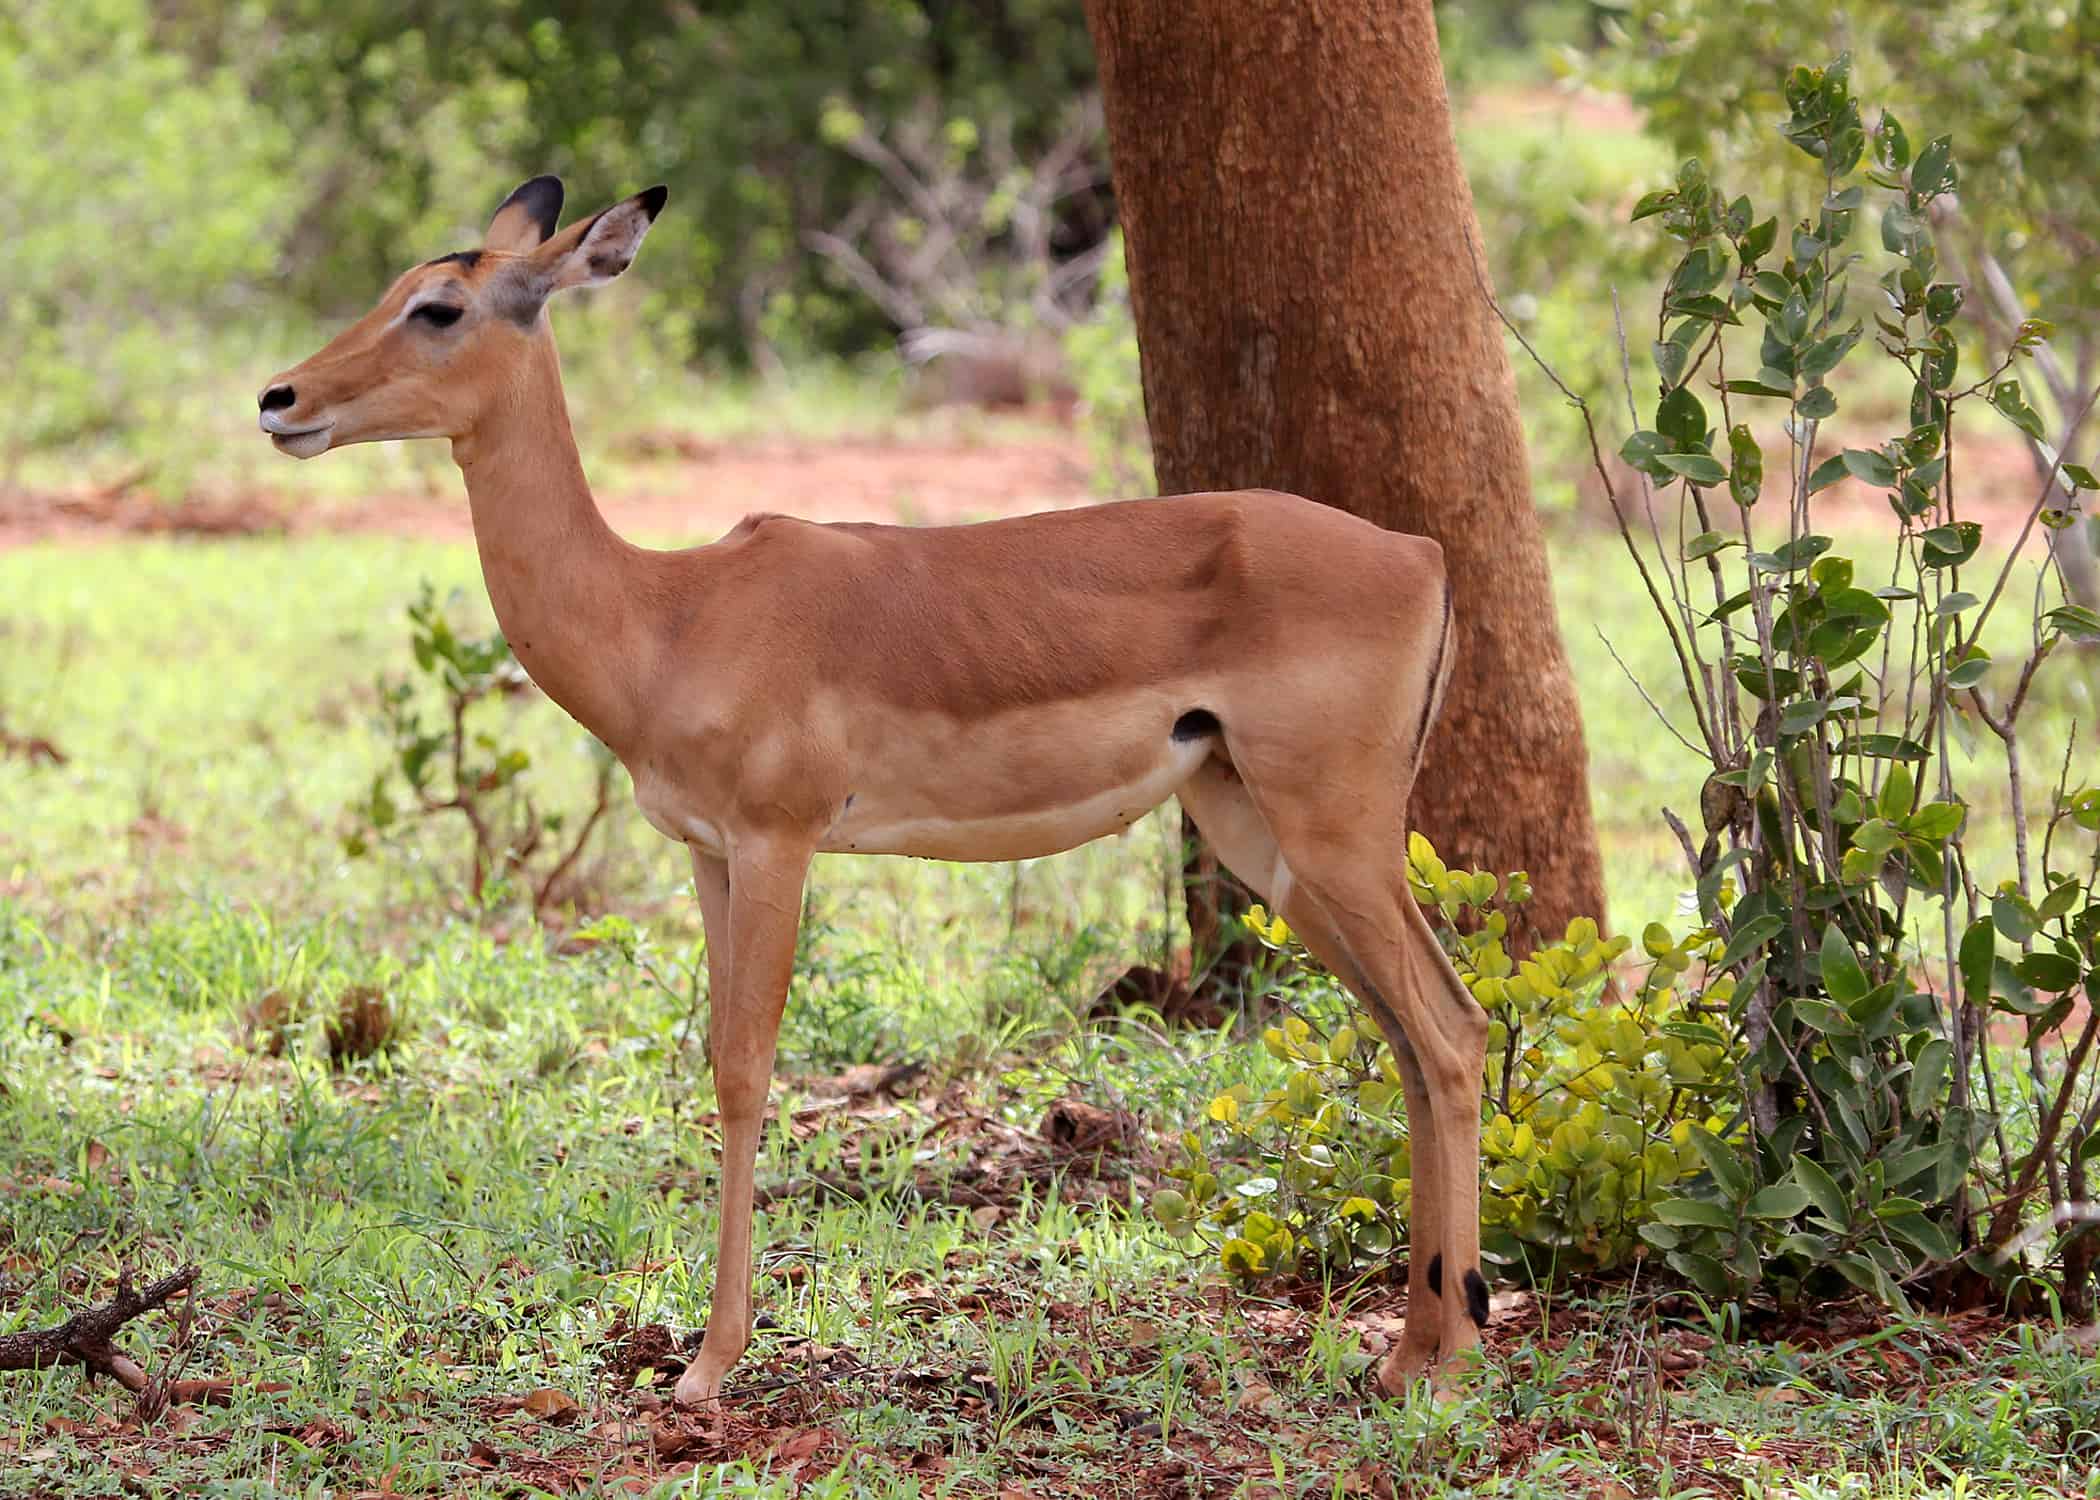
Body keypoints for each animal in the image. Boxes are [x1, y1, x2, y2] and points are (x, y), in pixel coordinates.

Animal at [257, 177, 1492, 1403]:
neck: (666, 615)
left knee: (1451, 1030)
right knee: (1410, 1036)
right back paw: (1410, 1350)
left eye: (440, 305)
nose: (279, 398)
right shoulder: (707, 851)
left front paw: (709, 1364)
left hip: (1335, 835)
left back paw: (1453, 1360)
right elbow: (719, 1057)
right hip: (1261, 840)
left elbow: (746, 1069)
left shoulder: (778, 842)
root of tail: (1422, 556)